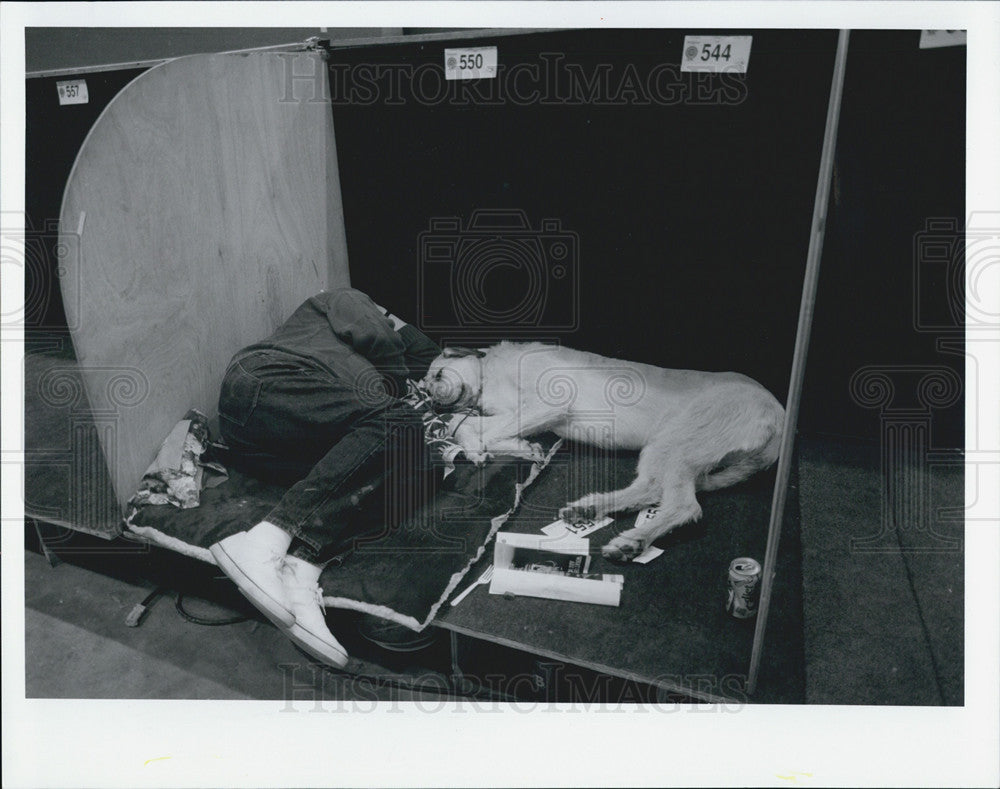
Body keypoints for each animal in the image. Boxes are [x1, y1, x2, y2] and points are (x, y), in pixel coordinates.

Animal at [422, 344, 780, 560]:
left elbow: (484, 430)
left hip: (678, 442)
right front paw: (498, 448)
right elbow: (465, 425)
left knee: (684, 505)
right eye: (425, 388)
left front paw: (512, 447)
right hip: (663, 446)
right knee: (650, 488)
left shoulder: (546, 405)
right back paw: (590, 509)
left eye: (438, 374)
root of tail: (779, 416)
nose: (435, 404)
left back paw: (633, 541)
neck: (492, 375)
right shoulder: (520, 413)